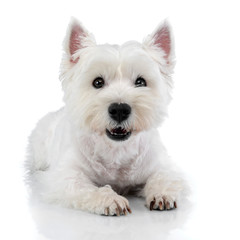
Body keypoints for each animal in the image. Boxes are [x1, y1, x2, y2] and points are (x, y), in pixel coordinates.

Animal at [26, 16, 188, 216]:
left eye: (140, 81)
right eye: (98, 82)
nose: (119, 109)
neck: (116, 150)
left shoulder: (161, 164)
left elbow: (164, 176)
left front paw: (162, 194)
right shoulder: (64, 176)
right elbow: (85, 188)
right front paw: (111, 199)